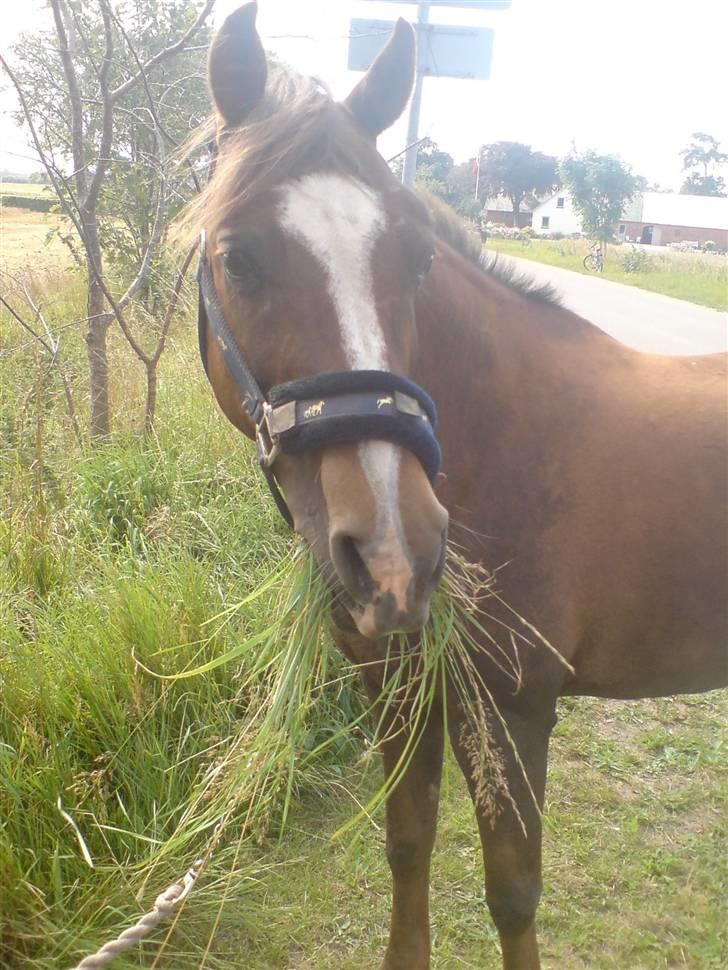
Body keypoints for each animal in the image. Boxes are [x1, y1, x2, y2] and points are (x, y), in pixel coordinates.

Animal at [189, 5, 728, 968]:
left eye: (415, 259)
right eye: (238, 257)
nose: (394, 557)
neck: (499, 439)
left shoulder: (513, 709)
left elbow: (512, 894)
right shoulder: (399, 689)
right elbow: (409, 843)